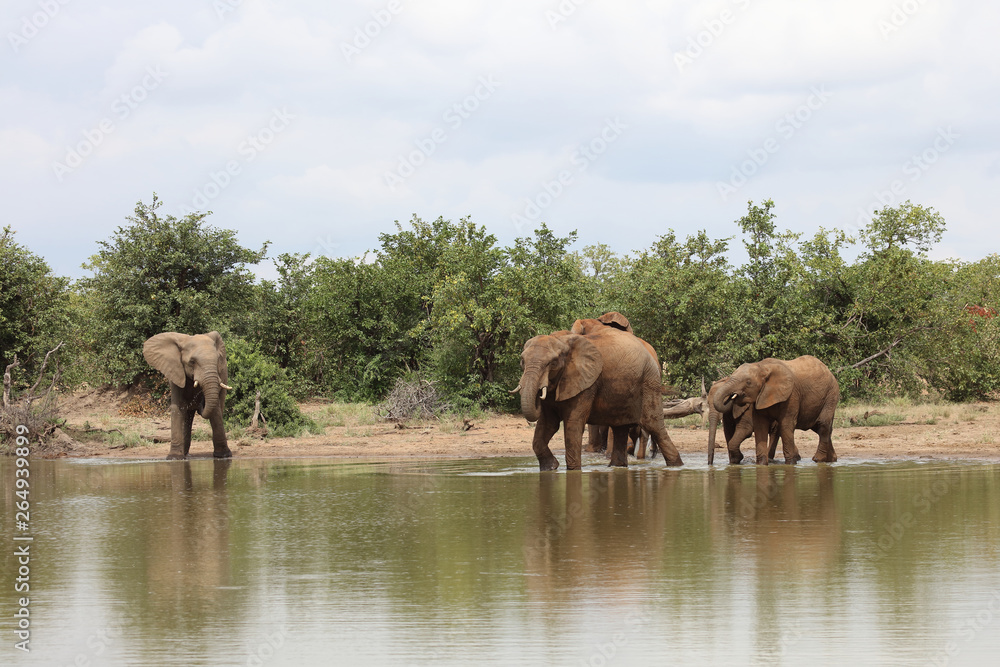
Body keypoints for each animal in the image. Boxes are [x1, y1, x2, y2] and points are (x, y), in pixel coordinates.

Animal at [143, 331, 233, 460]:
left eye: (217, 360)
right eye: (192, 362)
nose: (201, 402)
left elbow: (215, 410)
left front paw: (223, 456)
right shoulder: (175, 372)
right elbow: (178, 407)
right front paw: (174, 458)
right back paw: (184, 454)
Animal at [514, 321, 683, 471]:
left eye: (553, 363)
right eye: (522, 361)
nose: (538, 395)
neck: (562, 341)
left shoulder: (587, 383)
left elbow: (573, 424)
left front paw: (573, 471)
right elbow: (547, 424)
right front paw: (551, 467)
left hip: (649, 382)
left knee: (654, 426)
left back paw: (677, 466)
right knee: (620, 428)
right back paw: (617, 467)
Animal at [711, 356, 839, 465]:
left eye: (748, 382)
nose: (732, 395)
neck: (761, 366)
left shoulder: (792, 395)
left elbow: (786, 424)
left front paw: (791, 464)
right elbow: (760, 426)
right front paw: (761, 464)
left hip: (831, 394)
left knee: (823, 425)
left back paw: (818, 459)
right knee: (821, 427)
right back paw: (832, 459)